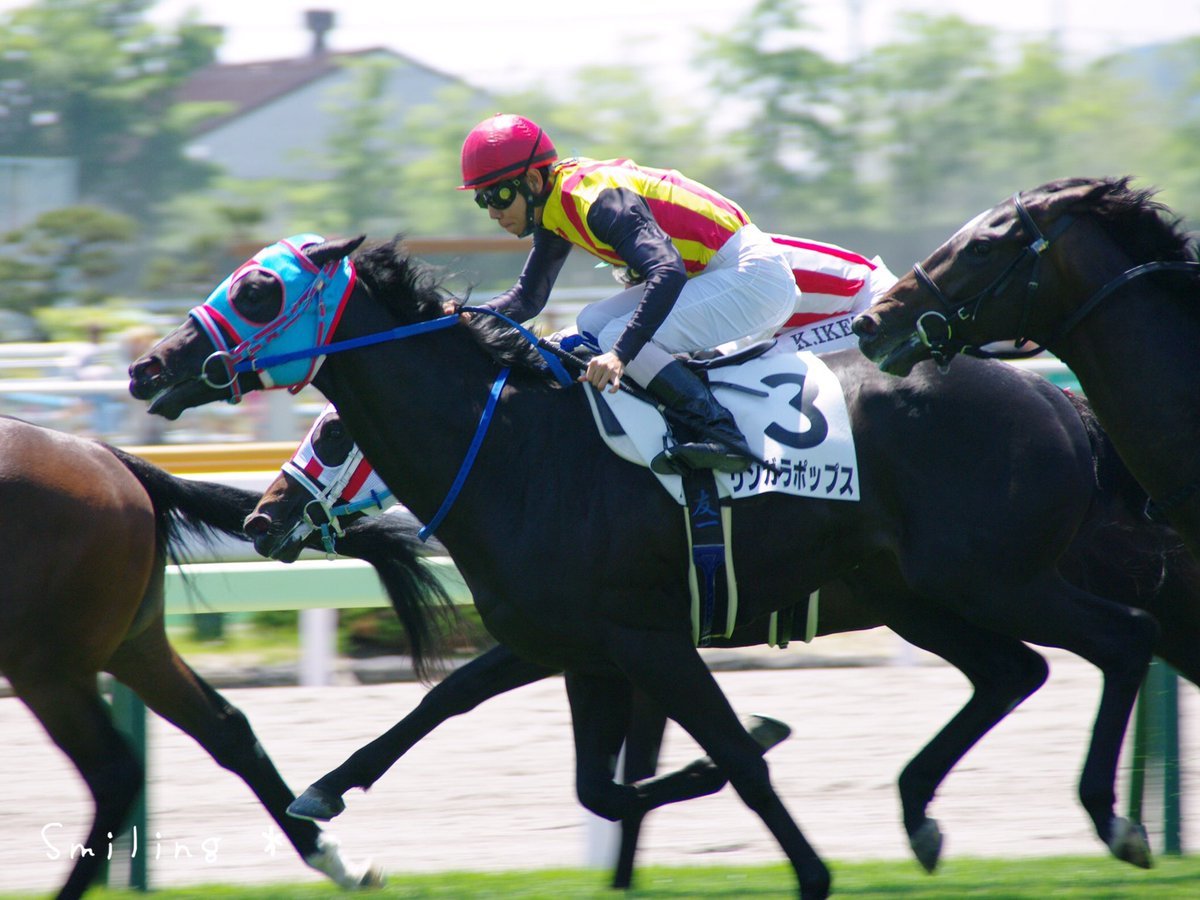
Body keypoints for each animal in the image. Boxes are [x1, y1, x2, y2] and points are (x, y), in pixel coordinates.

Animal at [0, 420, 379, 900]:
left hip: (47, 664)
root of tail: (106, 455)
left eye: (334, 434)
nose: (262, 521)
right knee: (226, 728)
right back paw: (337, 861)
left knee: (114, 771)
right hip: (133, 644)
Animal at [131, 236, 1161, 897]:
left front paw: (808, 860)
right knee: (1014, 672)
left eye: (258, 292)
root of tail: (1055, 400)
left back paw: (1116, 820)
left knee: (1125, 637)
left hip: (997, 579)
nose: (148, 367)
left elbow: (734, 757)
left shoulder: (650, 640)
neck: (516, 447)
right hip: (926, 596)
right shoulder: (570, 644)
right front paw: (323, 793)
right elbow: (480, 720)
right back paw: (924, 815)